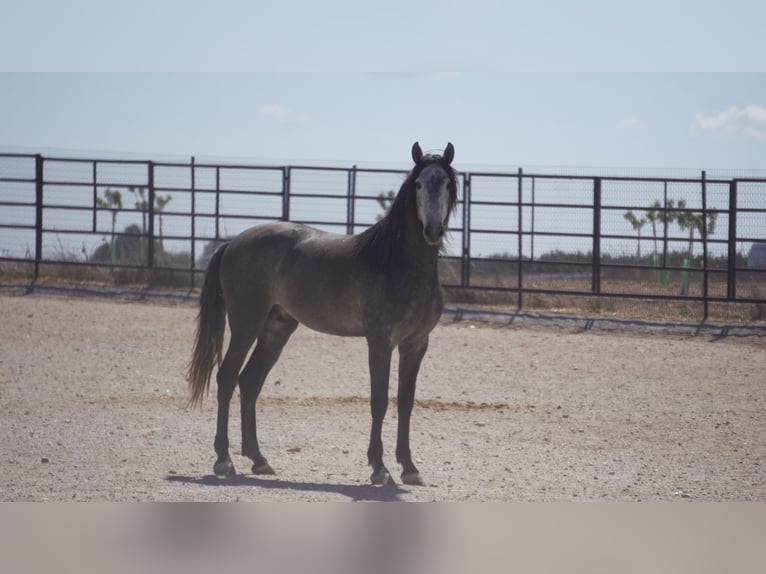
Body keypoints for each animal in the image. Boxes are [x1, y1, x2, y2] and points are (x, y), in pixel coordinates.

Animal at [188, 142, 460, 488]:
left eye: (448, 184)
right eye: (419, 185)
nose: (433, 230)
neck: (396, 265)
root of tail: (232, 244)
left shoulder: (416, 344)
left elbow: (406, 402)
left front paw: (410, 468)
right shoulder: (380, 342)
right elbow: (379, 401)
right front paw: (379, 468)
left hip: (277, 328)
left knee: (249, 382)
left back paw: (259, 460)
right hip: (245, 325)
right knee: (226, 378)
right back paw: (224, 461)